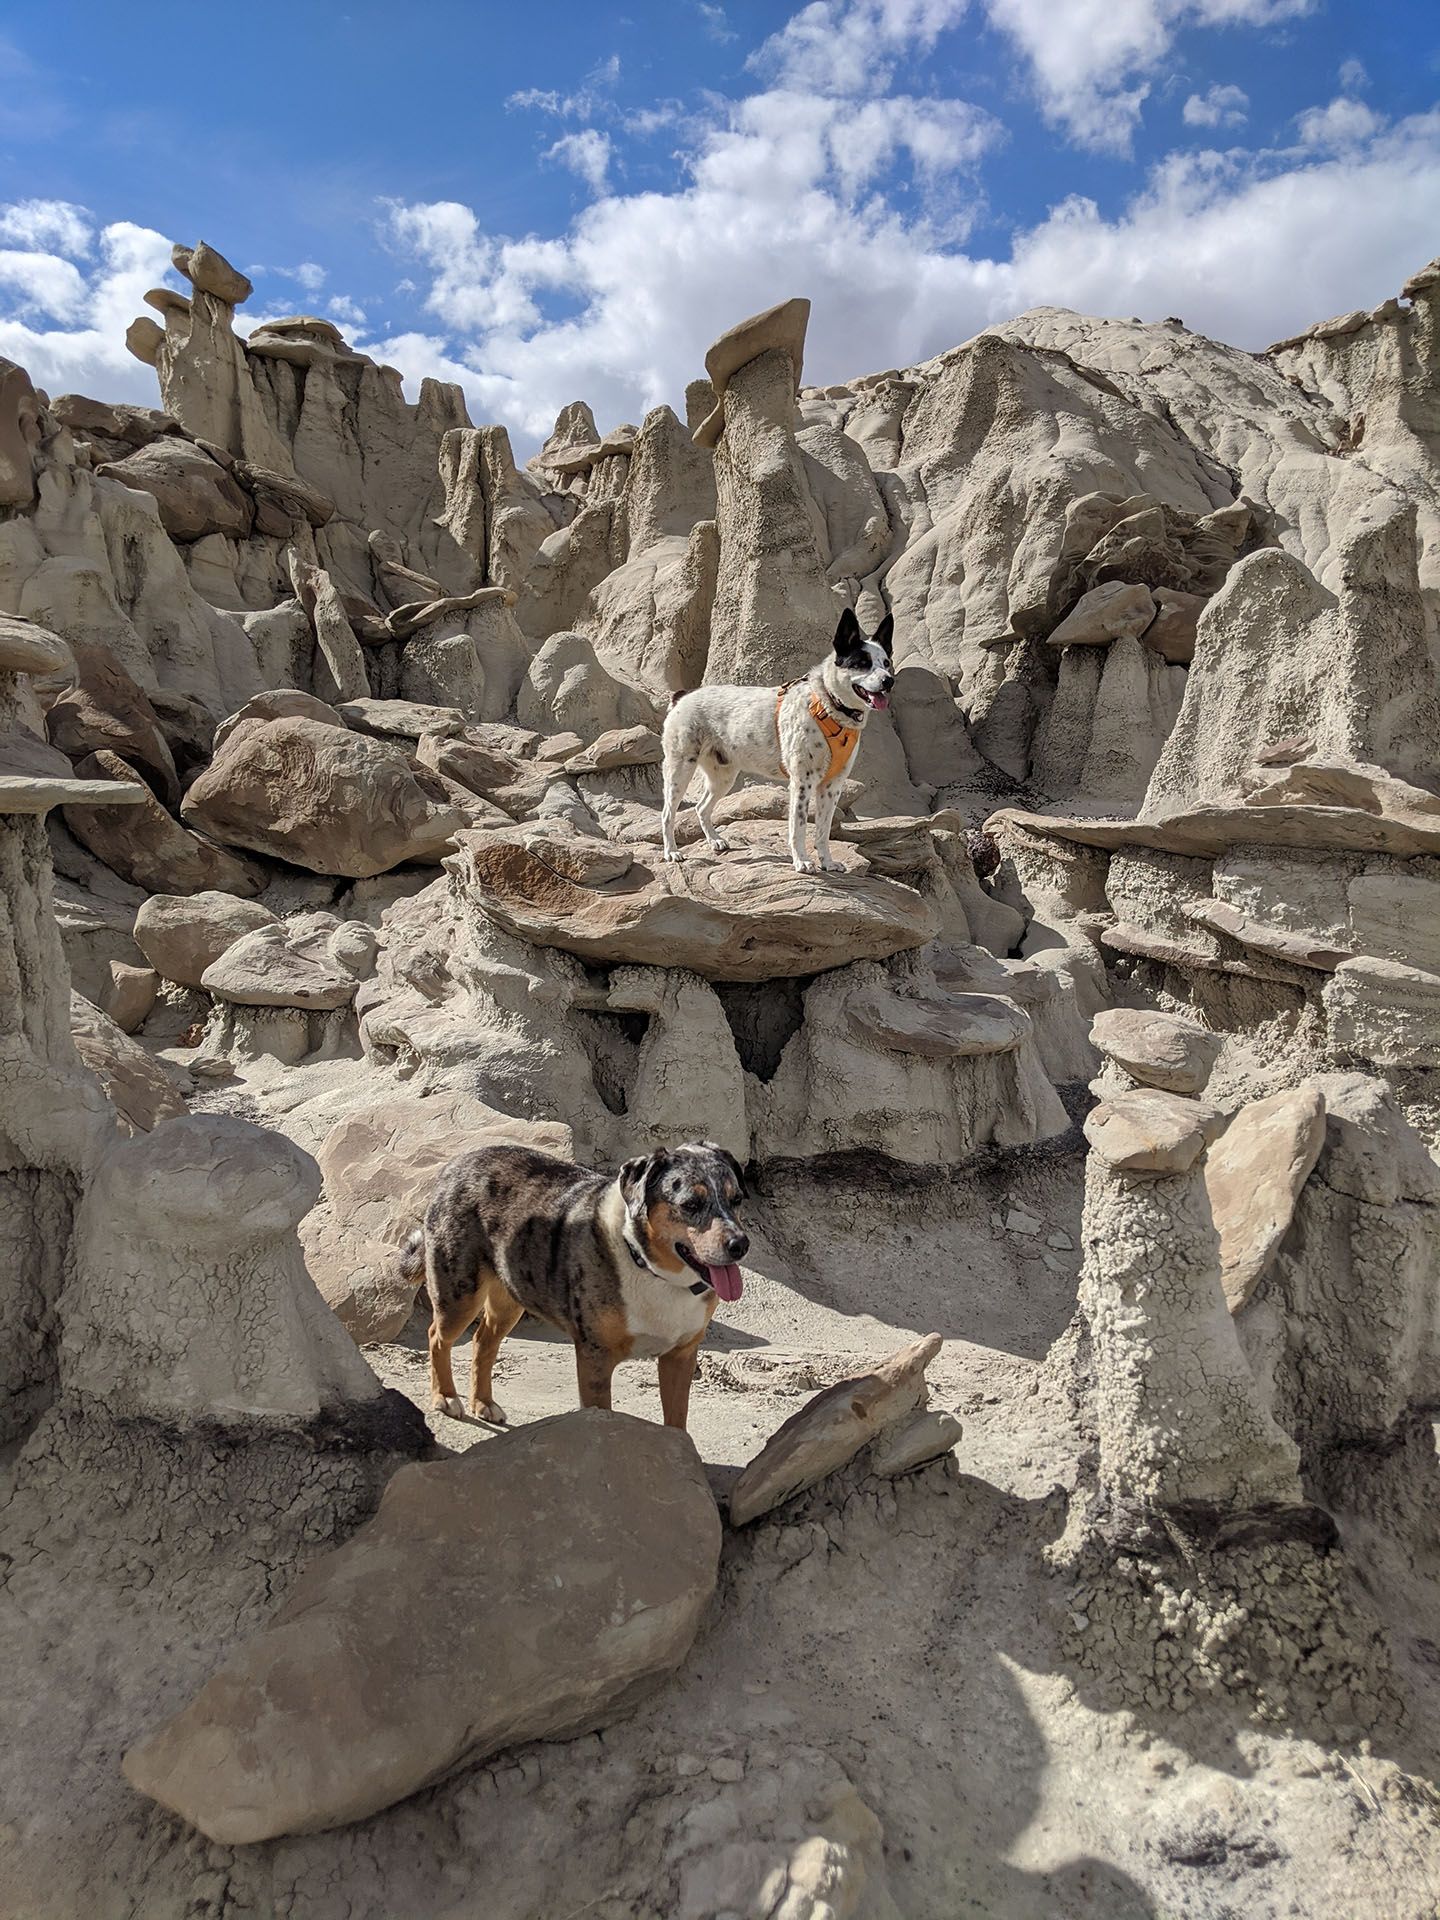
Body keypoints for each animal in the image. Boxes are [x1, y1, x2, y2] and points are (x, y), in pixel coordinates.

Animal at [401, 1136, 748, 1428]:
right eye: (690, 1204)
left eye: (737, 1199)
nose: (740, 1245)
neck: (651, 1269)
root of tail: (458, 1163)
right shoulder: (595, 1358)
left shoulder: (680, 1356)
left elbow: (676, 1421)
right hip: (460, 1296)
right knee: (437, 1337)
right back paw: (445, 1397)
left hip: (510, 1298)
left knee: (483, 1341)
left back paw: (483, 1402)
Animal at [664, 606, 890, 871]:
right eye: (862, 664)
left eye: (887, 663)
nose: (889, 680)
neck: (828, 705)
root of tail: (683, 695)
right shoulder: (802, 782)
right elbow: (798, 827)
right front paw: (802, 861)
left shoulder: (832, 787)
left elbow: (823, 831)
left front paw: (827, 862)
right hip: (680, 770)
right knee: (667, 813)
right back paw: (671, 851)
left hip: (723, 776)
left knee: (701, 808)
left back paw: (715, 840)